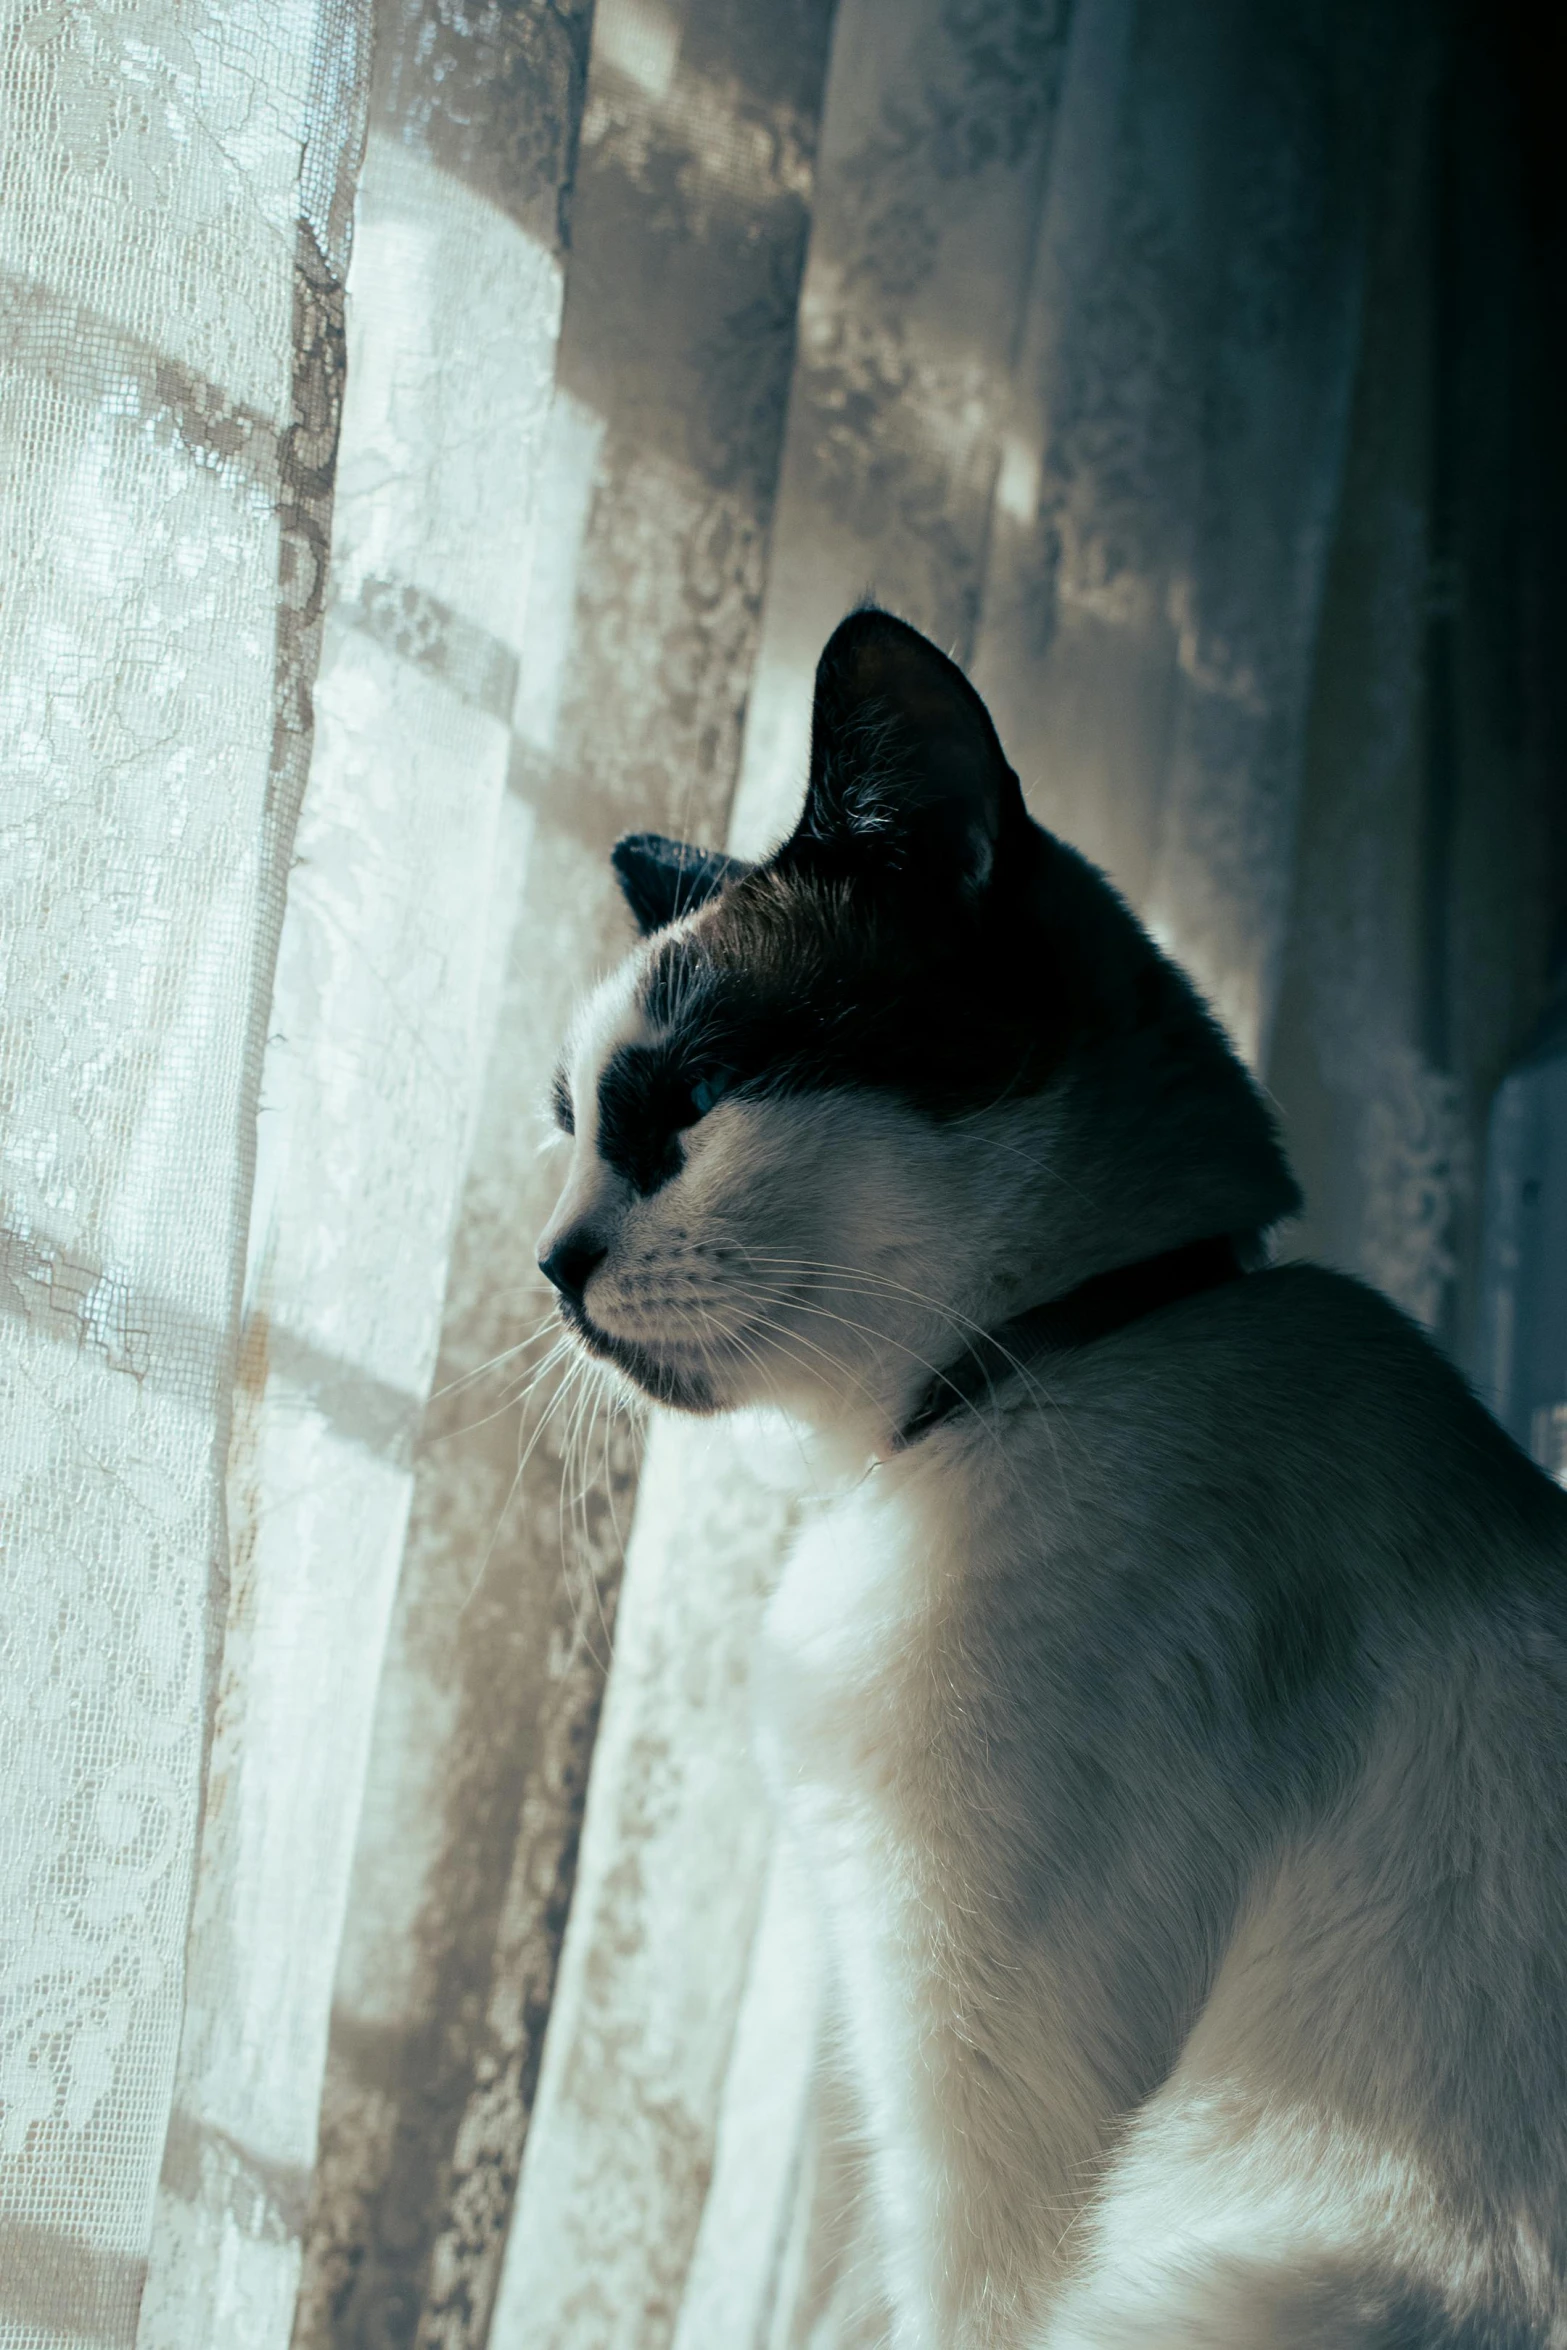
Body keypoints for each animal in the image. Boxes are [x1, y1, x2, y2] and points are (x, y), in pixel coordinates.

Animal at [535, 611, 1567, 2350]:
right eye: (565, 1125)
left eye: (686, 1102)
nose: (548, 1263)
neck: (1036, 1364)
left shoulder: (982, 2106)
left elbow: (958, 2290)